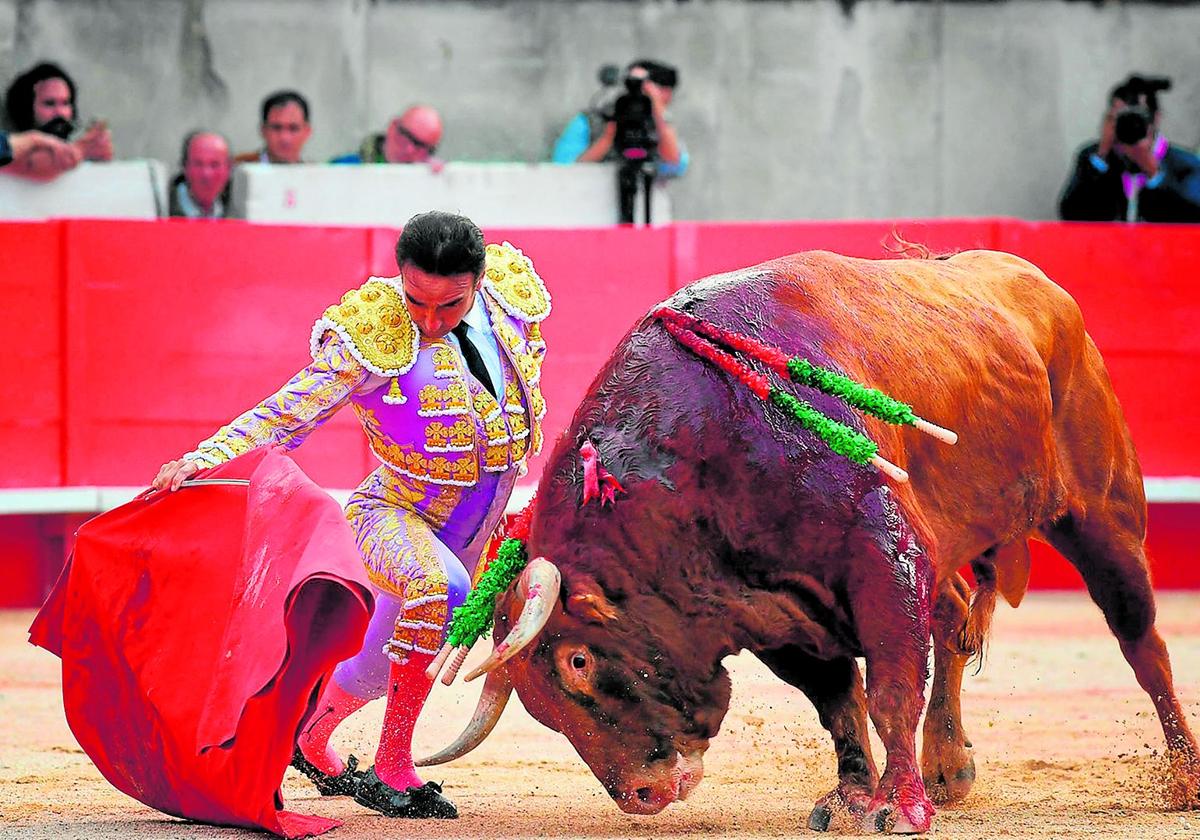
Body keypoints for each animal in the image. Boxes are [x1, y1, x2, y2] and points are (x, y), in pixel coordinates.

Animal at [417, 249, 1195, 835]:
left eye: (577, 661)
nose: (641, 794)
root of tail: (1038, 285)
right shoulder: (771, 613)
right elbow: (838, 702)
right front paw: (853, 797)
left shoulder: (884, 558)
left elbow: (889, 689)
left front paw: (896, 808)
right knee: (952, 625)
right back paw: (949, 770)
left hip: (1103, 514)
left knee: (1141, 640)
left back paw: (1182, 776)